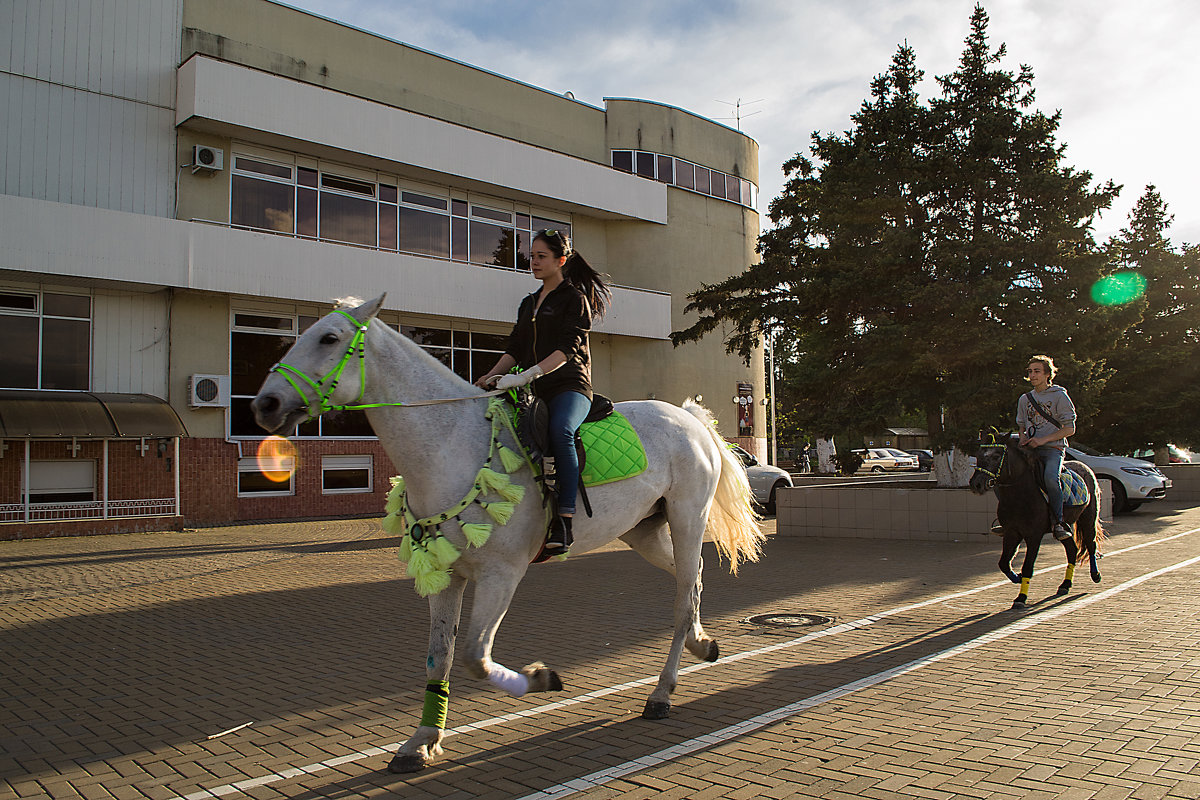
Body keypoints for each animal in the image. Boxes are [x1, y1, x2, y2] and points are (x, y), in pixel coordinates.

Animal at [248, 296, 763, 777]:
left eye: (329, 338)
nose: (264, 405)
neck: (452, 443)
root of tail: (691, 420)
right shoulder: (446, 576)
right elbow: (441, 657)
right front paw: (421, 741)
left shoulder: (501, 574)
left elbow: (475, 655)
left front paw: (541, 678)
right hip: (645, 532)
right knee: (690, 585)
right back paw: (700, 645)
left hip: (687, 518)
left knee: (682, 597)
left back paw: (661, 692)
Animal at [969, 434, 1099, 609]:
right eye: (978, 455)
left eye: (996, 456)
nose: (976, 484)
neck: (1021, 495)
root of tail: (1084, 467)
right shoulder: (1012, 532)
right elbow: (1003, 563)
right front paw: (1017, 577)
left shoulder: (1034, 536)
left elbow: (1028, 567)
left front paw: (1021, 597)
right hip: (1063, 529)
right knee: (1072, 550)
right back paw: (1065, 585)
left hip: (1088, 518)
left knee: (1091, 544)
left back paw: (1095, 575)